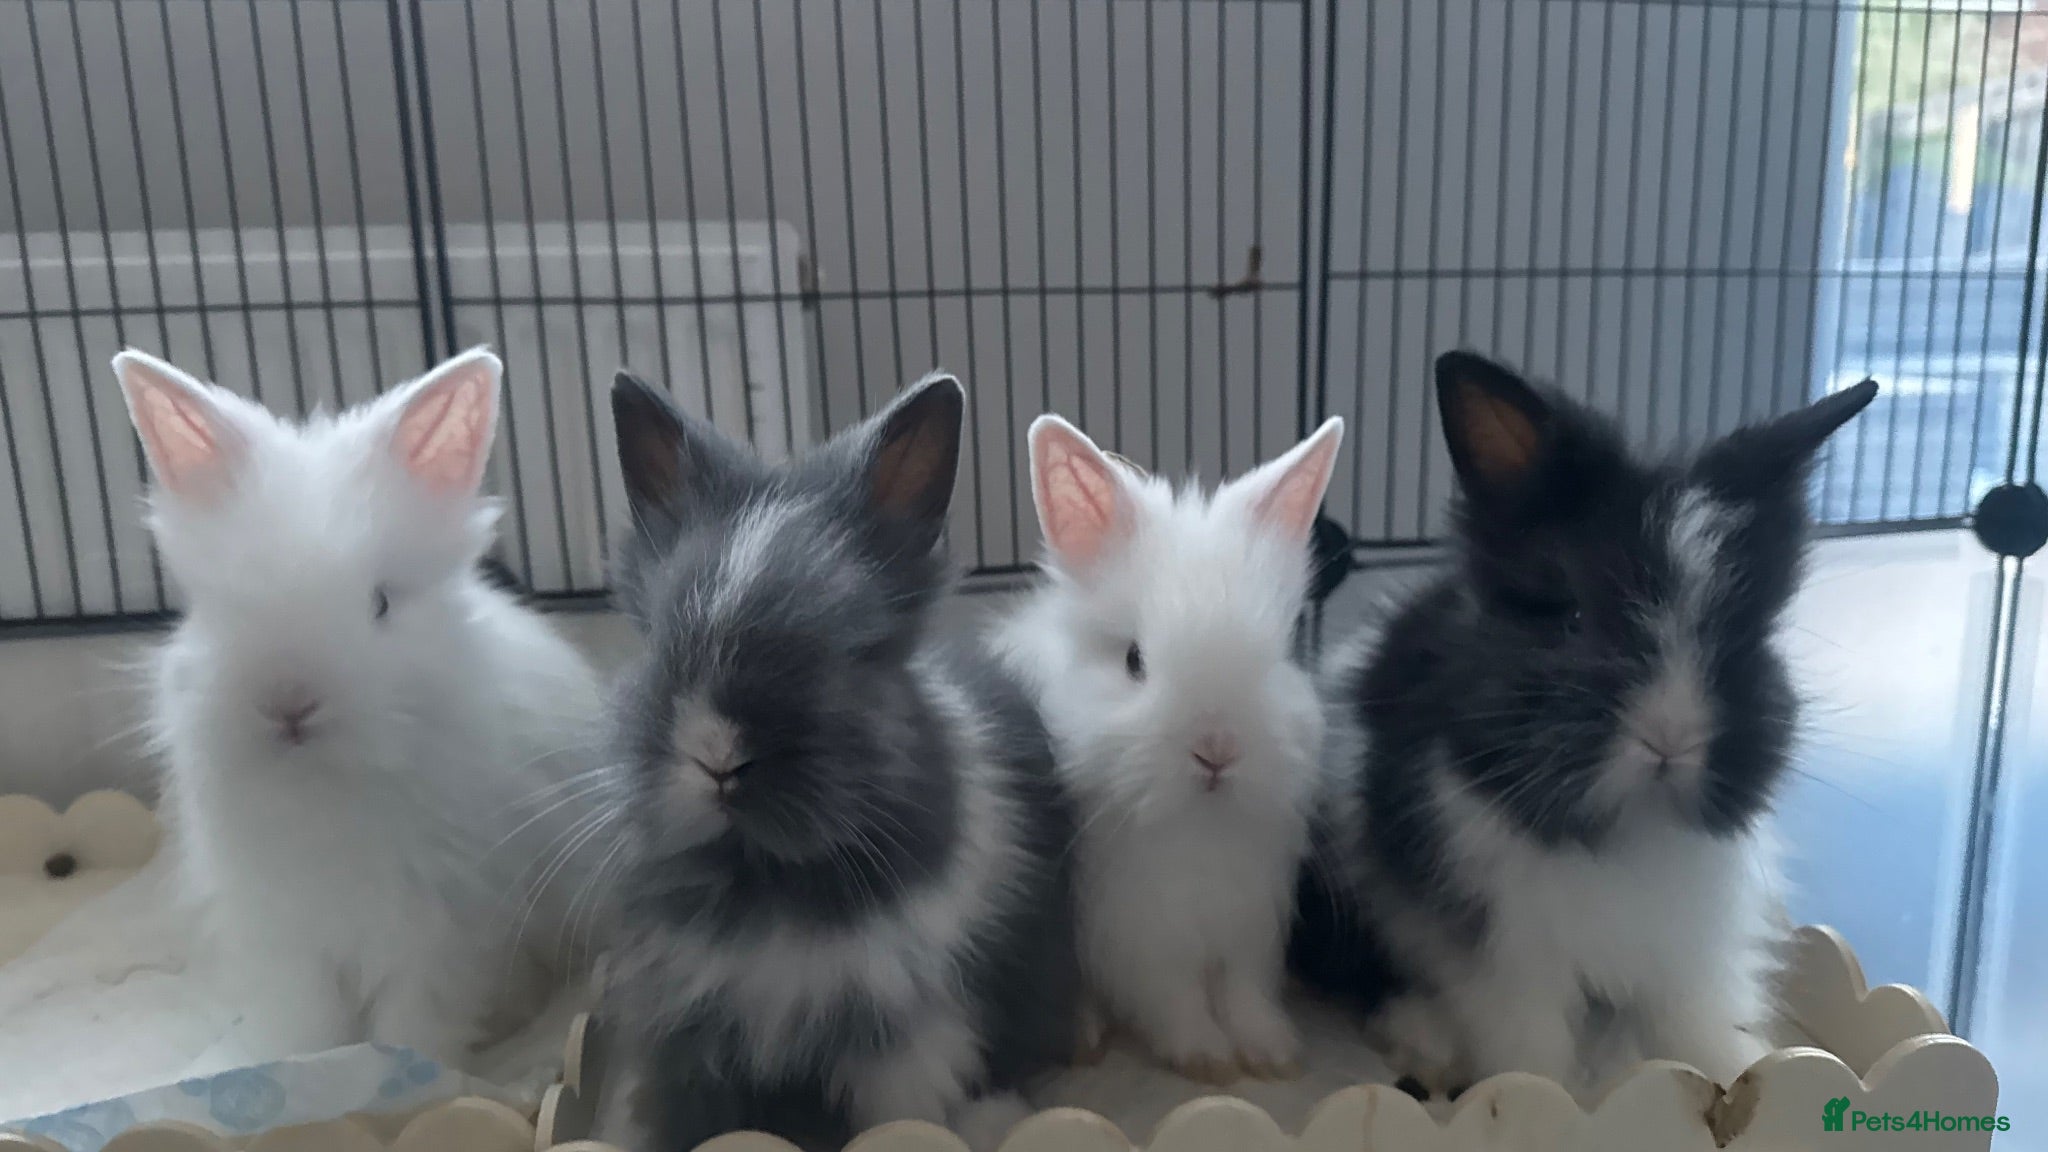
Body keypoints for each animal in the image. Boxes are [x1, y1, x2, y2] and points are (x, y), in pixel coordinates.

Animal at [111, 347, 610, 1070]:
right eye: (221, 606)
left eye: (379, 602)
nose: (288, 703)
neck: (323, 788)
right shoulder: (290, 940)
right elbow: (309, 1020)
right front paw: (303, 1064)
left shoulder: (442, 931)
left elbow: (416, 1018)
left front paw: (414, 1069)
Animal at [594, 371, 1081, 1152]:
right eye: (660, 645)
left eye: (848, 652)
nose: (718, 756)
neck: (764, 885)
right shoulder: (685, 1033)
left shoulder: (897, 1036)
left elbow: (901, 1116)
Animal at [990, 414, 1346, 1085]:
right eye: (1134, 661)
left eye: (1280, 653)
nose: (1217, 749)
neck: (1198, 828)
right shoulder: (1138, 938)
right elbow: (1173, 998)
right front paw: (1208, 1059)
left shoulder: (1247, 927)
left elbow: (1244, 993)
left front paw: (1272, 1053)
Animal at [1296, 350, 1878, 1099]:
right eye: (1571, 616)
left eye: (1742, 636)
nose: (1671, 738)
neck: (1625, 830)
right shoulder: (1507, 953)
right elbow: (1530, 1043)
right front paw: (1547, 1095)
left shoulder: (1688, 950)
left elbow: (1694, 1026)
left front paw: (1737, 1074)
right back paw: (1425, 1040)